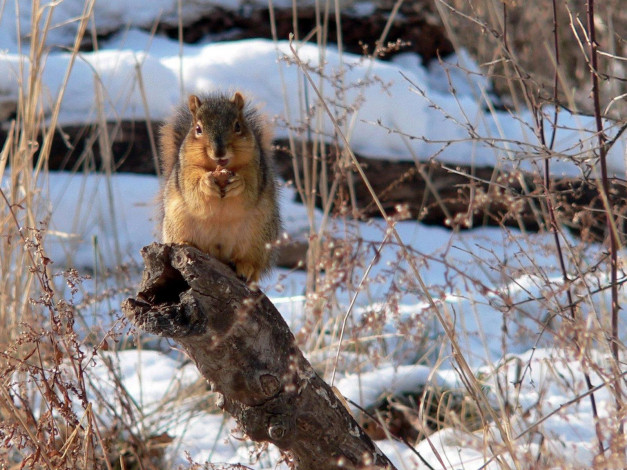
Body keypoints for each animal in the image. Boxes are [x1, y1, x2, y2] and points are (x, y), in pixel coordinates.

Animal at [159, 92, 282, 282]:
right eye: (198, 129)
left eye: (237, 126)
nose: (219, 152)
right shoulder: (186, 170)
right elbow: (192, 189)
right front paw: (205, 183)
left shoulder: (255, 169)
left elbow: (249, 190)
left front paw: (239, 184)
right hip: (177, 222)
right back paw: (185, 242)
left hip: (260, 237)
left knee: (253, 262)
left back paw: (246, 267)